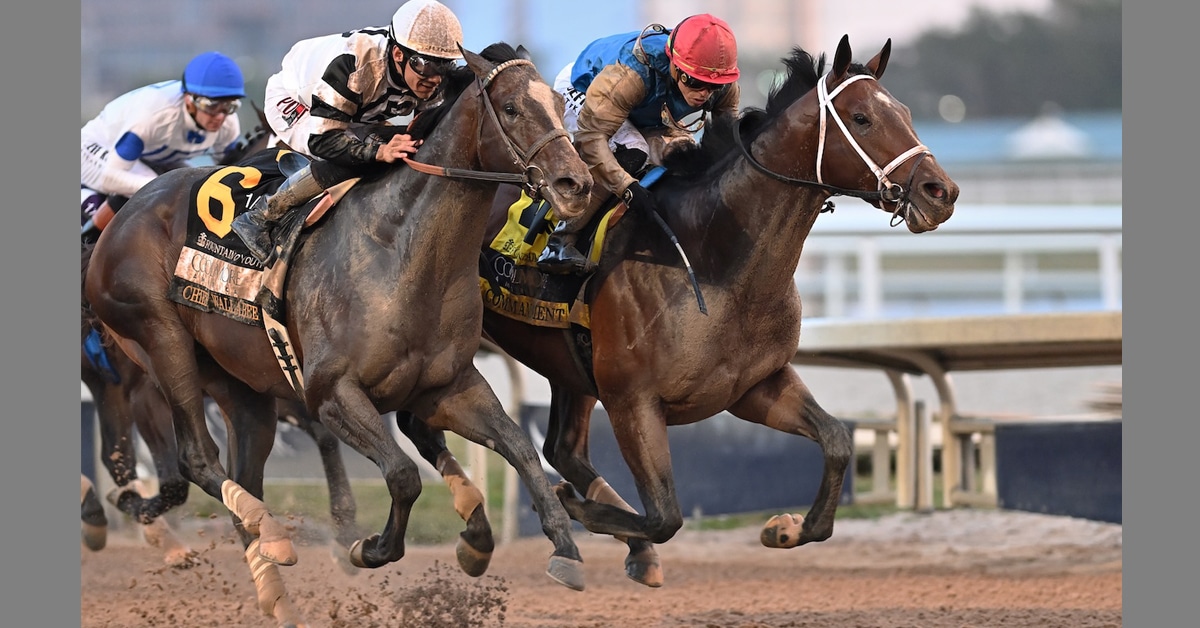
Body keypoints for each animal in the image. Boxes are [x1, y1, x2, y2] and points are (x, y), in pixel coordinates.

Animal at [84, 43, 592, 626]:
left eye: (557, 101)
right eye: (510, 108)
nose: (577, 185)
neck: (399, 248)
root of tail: (122, 220)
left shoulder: (447, 387)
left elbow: (520, 449)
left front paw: (564, 550)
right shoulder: (331, 393)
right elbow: (403, 475)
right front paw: (368, 547)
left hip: (240, 387)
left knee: (239, 471)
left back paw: (274, 586)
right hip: (159, 344)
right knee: (194, 457)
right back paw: (265, 533)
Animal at [476, 36, 959, 587]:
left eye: (903, 112)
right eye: (862, 118)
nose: (941, 192)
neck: (711, 254)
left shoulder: (753, 386)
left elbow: (837, 439)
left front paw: (787, 529)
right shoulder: (632, 400)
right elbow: (666, 515)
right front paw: (573, 509)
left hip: (571, 368)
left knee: (564, 448)